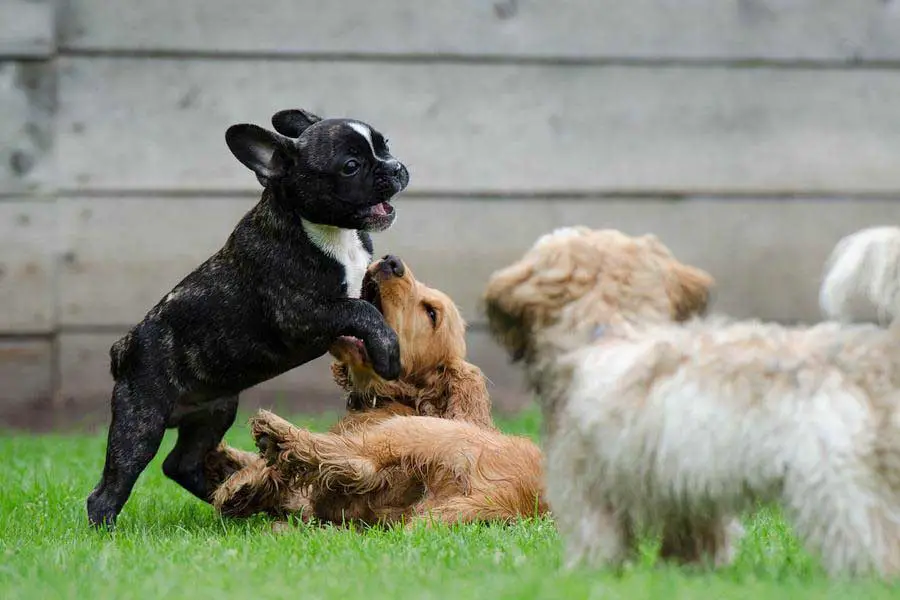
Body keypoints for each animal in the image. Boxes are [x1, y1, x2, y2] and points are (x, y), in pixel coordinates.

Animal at [486, 225, 900, 576]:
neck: (610, 329)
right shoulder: (687, 488)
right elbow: (695, 536)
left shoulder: (586, 482)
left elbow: (598, 536)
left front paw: (588, 575)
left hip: (835, 481)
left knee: (866, 538)